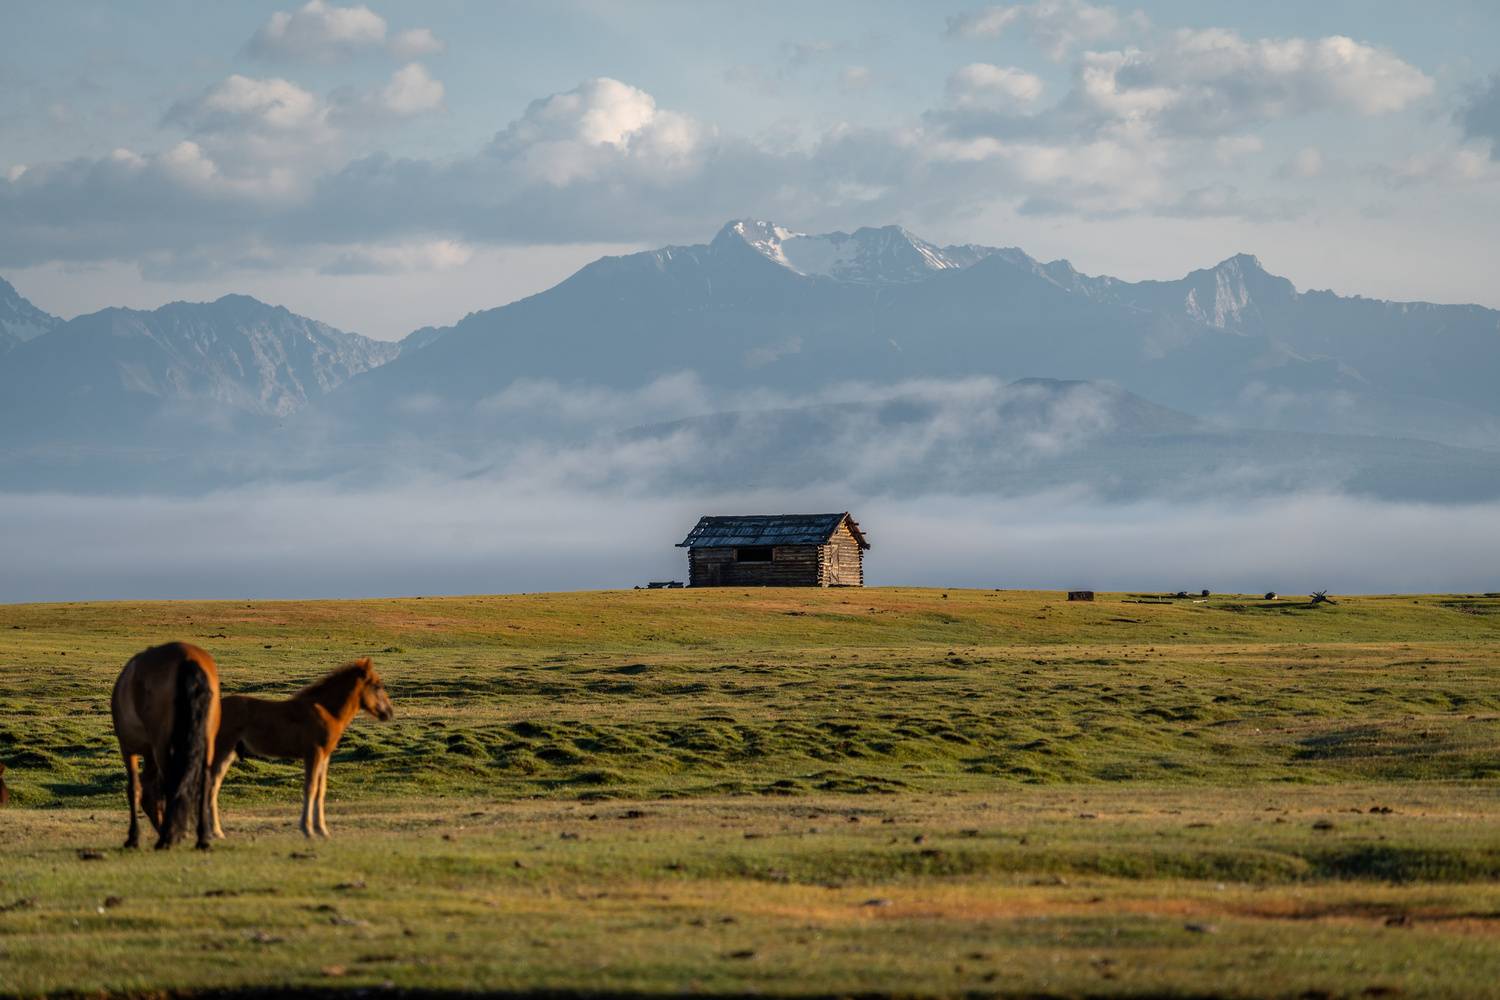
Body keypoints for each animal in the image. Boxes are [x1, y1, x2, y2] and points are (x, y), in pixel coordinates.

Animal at [111, 641, 221, 850]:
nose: (159, 825)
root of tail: (188, 659)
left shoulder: (128, 748)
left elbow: (134, 788)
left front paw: (133, 838)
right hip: (208, 740)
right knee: (204, 782)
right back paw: (201, 838)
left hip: (162, 744)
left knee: (171, 780)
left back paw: (166, 839)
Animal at [209, 657, 392, 839]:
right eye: (377, 685)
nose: (389, 713)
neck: (326, 711)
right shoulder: (313, 753)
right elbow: (310, 787)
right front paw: (308, 829)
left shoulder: (325, 756)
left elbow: (321, 790)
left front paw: (322, 830)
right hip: (222, 750)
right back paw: (213, 831)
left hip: (228, 753)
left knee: (214, 785)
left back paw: (216, 831)